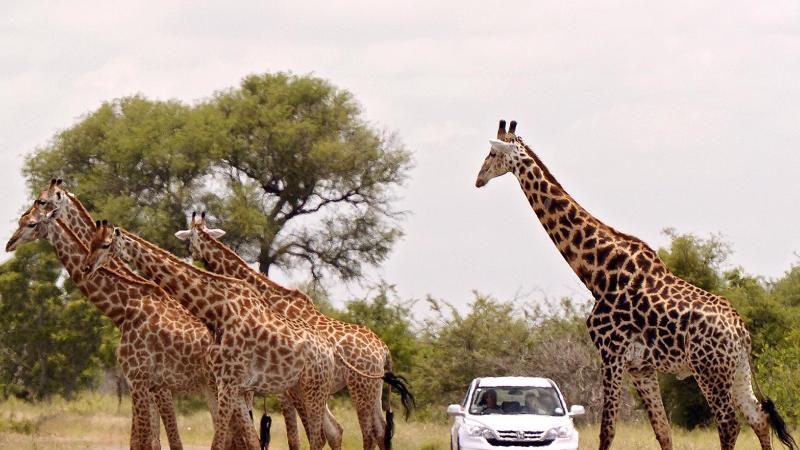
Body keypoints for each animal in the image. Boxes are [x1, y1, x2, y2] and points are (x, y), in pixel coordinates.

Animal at [4, 204, 216, 450]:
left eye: (32, 223)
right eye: (21, 220)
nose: (9, 244)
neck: (123, 309)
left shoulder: (141, 380)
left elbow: (148, 441)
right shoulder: (150, 385)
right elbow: (150, 441)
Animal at [80, 221, 344, 450]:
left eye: (106, 245)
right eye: (92, 242)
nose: (86, 267)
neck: (218, 310)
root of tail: (329, 352)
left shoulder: (226, 382)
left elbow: (220, 443)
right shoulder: (231, 384)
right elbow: (247, 441)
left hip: (313, 389)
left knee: (318, 437)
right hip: (300, 388)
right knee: (330, 431)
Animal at [174, 212, 412, 450]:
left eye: (189, 240)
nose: (192, 257)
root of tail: (384, 351)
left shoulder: (285, 390)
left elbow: (301, 435)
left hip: (360, 387)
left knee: (369, 432)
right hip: (374, 389)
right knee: (380, 430)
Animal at [472, 120, 796, 450]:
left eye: (492, 153)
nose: (478, 179)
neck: (597, 273)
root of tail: (741, 332)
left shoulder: (611, 352)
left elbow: (607, 430)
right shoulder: (640, 366)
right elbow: (663, 430)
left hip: (709, 370)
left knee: (730, 423)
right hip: (736, 370)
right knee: (758, 417)